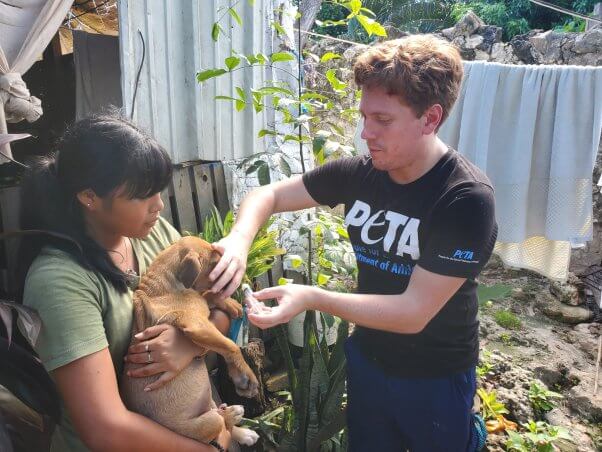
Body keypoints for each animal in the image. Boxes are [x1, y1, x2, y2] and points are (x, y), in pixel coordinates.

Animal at [120, 235, 258, 446]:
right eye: (214, 265)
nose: (239, 281)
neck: (165, 286)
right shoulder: (197, 324)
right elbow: (231, 346)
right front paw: (246, 376)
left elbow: (208, 297)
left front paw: (230, 303)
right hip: (207, 422)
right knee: (220, 422)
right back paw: (232, 414)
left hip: (209, 403)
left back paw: (243, 432)